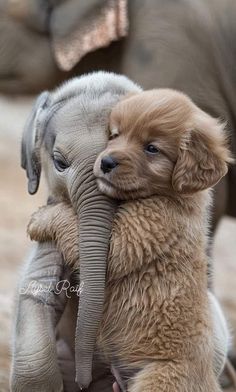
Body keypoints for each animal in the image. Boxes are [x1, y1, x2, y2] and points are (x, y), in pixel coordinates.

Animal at [28, 89, 231, 392]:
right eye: (114, 134)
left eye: (152, 148)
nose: (106, 162)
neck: (169, 195)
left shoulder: (138, 235)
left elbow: (73, 225)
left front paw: (40, 219)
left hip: (158, 379)